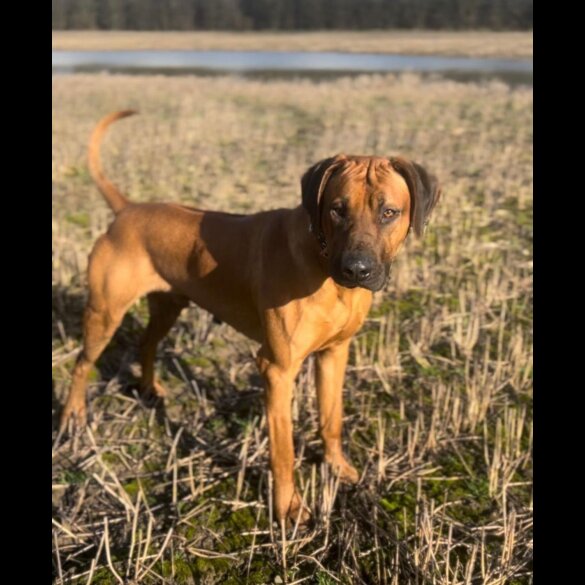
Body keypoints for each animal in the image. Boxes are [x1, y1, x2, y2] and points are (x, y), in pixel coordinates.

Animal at [59, 112, 440, 524]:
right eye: (337, 209)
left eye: (389, 212)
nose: (356, 269)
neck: (323, 264)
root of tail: (128, 210)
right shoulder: (277, 369)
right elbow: (283, 451)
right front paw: (289, 507)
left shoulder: (335, 354)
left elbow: (331, 420)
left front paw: (338, 468)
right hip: (104, 313)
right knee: (82, 364)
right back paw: (72, 419)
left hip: (169, 305)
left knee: (147, 343)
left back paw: (149, 389)